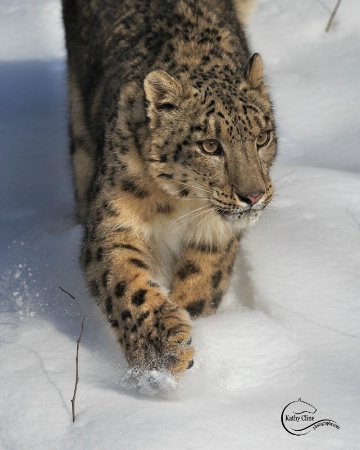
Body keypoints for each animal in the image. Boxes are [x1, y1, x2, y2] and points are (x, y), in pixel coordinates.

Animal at [62, 0, 278, 372]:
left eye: (262, 137)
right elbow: (125, 283)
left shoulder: (215, 234)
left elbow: (202, 281)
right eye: (210, 146)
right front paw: (162, 352)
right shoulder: (115, 222)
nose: (253, 195)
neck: (182, 205)